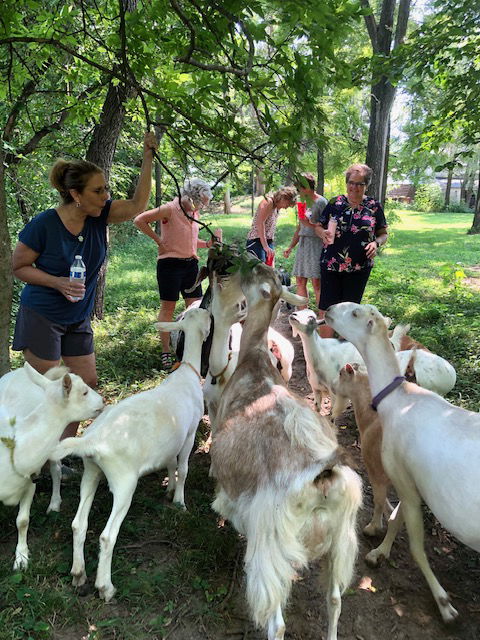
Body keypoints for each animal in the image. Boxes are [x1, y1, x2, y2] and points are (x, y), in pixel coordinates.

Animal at [0, 364, 103, 568]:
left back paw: (54, 503)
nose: (102, 401)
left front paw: (21, 558)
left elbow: (22, 521)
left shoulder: (30, 481)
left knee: (56, 470)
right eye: (84, 392)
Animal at [51, 308, 211, 604]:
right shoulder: (190, 432)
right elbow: (183, 467)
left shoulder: (171, 441)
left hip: (91, 471)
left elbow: (170, 463)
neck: (186, 373)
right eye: (201, 317)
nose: (208, 311)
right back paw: (105, 587)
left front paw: (169, 490)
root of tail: (93, 440)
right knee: (106, 536)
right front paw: (180, 501)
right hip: (124, 481)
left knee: (78, 524)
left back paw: (78, 574)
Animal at [212, 264, 362, 640]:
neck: (256, 363)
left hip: (272, 547)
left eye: (252, 274)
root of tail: (322, 478)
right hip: (341, 542)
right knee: (335, 598)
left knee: (276, 622)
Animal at [324, 302, 480, 624]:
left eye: (356, 313)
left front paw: (444, 603)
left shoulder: (403, 478)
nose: (329, 308)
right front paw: (379, 551)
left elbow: (415, 545)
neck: (400, 400)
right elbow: (396, 517)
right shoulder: (409, 482)